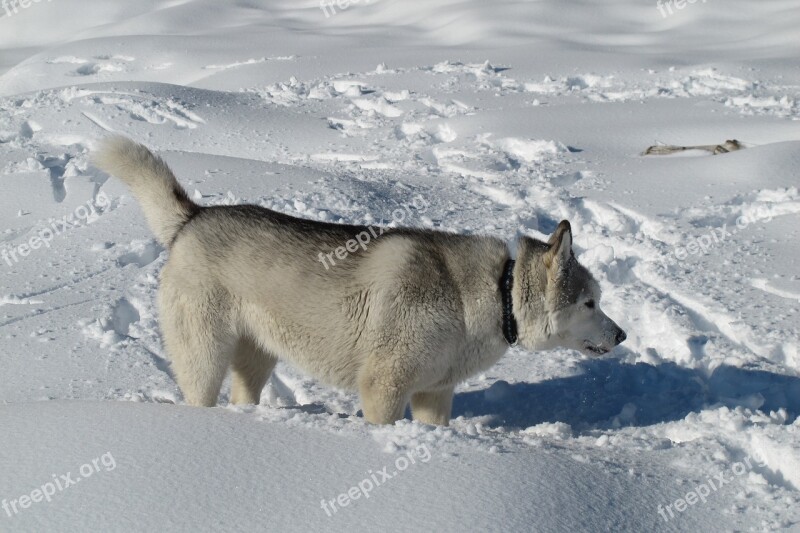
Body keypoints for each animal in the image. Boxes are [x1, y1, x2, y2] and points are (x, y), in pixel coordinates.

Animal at [94, 136, 628, 424]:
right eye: (590, 303)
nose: (623, 335)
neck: (492, 294)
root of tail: (194, 218)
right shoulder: (383, 388)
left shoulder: (434, 394)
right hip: (204, 358)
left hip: (257, 357)